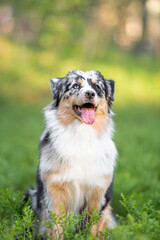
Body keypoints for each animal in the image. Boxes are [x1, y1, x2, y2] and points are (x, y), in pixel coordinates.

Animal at [26, 69, 117, 238]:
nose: (90, 93)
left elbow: (92, 228)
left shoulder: (98, 192)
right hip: (32, 194)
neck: (81, 134)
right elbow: (57, 227)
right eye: (75, 86)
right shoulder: (54, 191)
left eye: (97, 87)